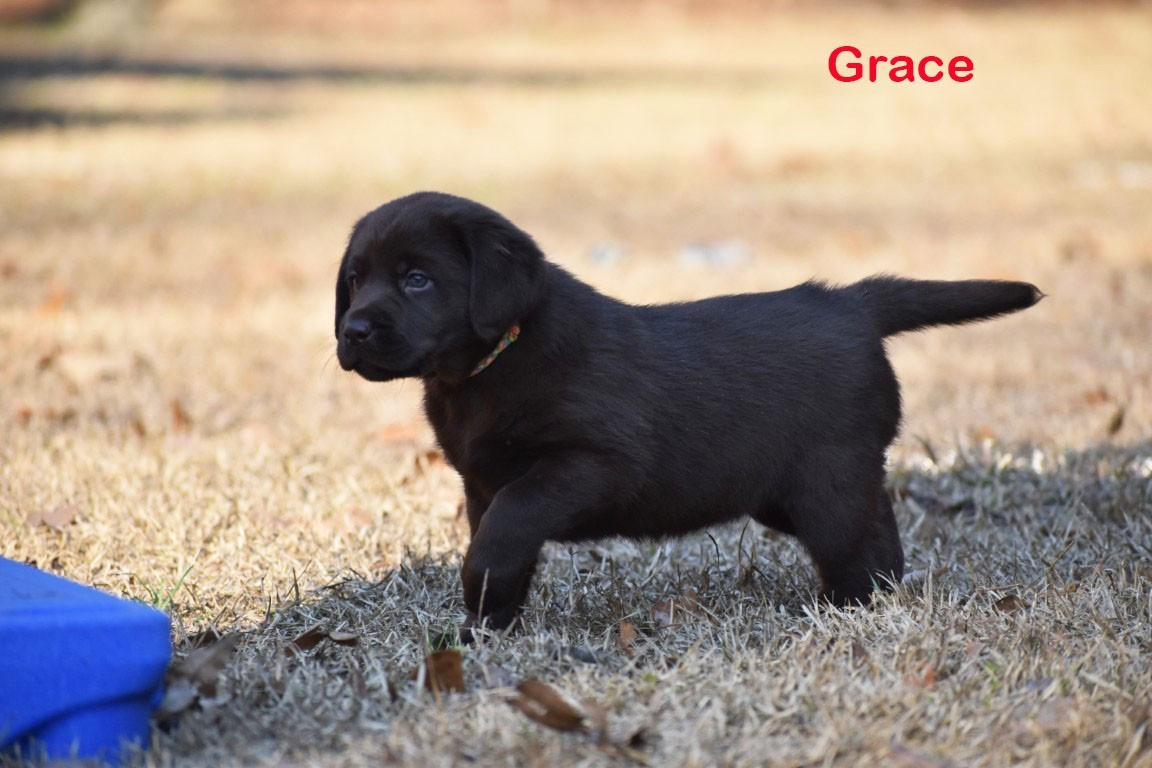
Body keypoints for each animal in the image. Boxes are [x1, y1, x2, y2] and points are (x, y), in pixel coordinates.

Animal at [335, 191, 1041, 637]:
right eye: (355, 279)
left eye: (418, 279)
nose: (353, 331)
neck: (488, 366)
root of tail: (851, 304)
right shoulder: (481, 482)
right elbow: (497, 536)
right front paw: (488, 626)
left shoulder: (591, 462)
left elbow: (507, 527)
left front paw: (480, 595)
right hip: (788, 489)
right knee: (878, 527)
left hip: (824, 481)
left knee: (854, 544)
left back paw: (848, 611)